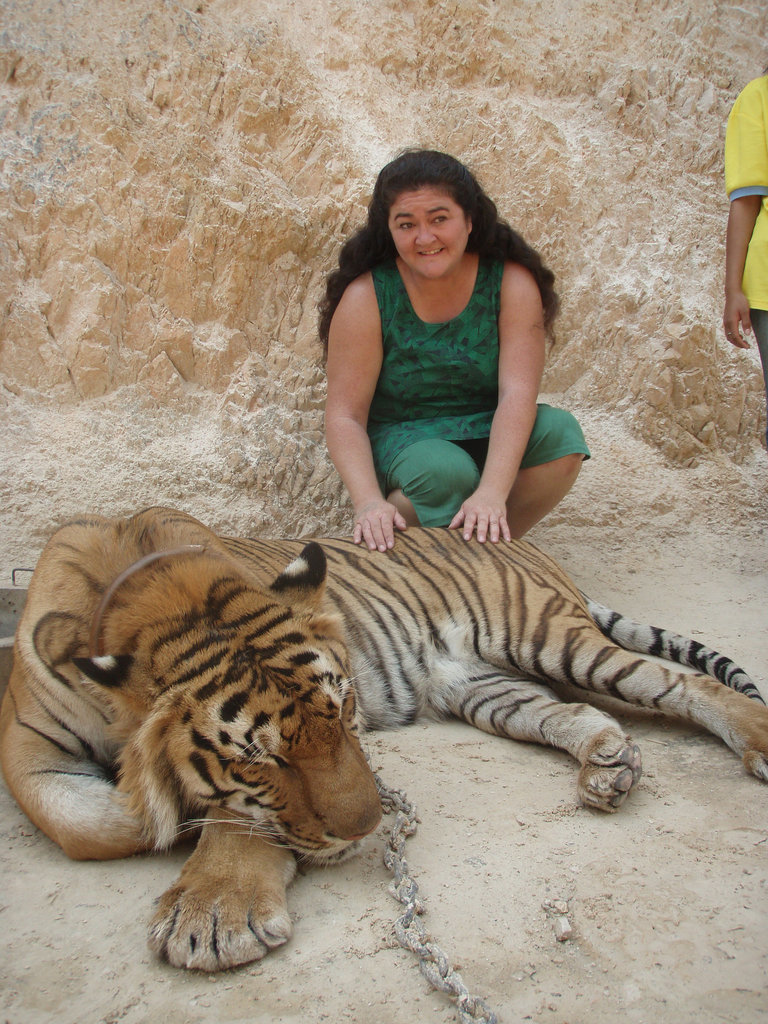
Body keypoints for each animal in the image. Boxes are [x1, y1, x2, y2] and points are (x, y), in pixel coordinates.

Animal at [0, 507, 765, 970]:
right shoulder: (30, 758)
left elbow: (190, 817)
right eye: (264, 759)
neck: (152, 587)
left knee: (681, 683)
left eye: (346, 713)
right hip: (480, 687)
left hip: (547, 635)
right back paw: (609, 765)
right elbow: (93, 822)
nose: (370, 828)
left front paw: (216, 909)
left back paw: (753, 742)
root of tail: (513, 537)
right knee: (570, 712)